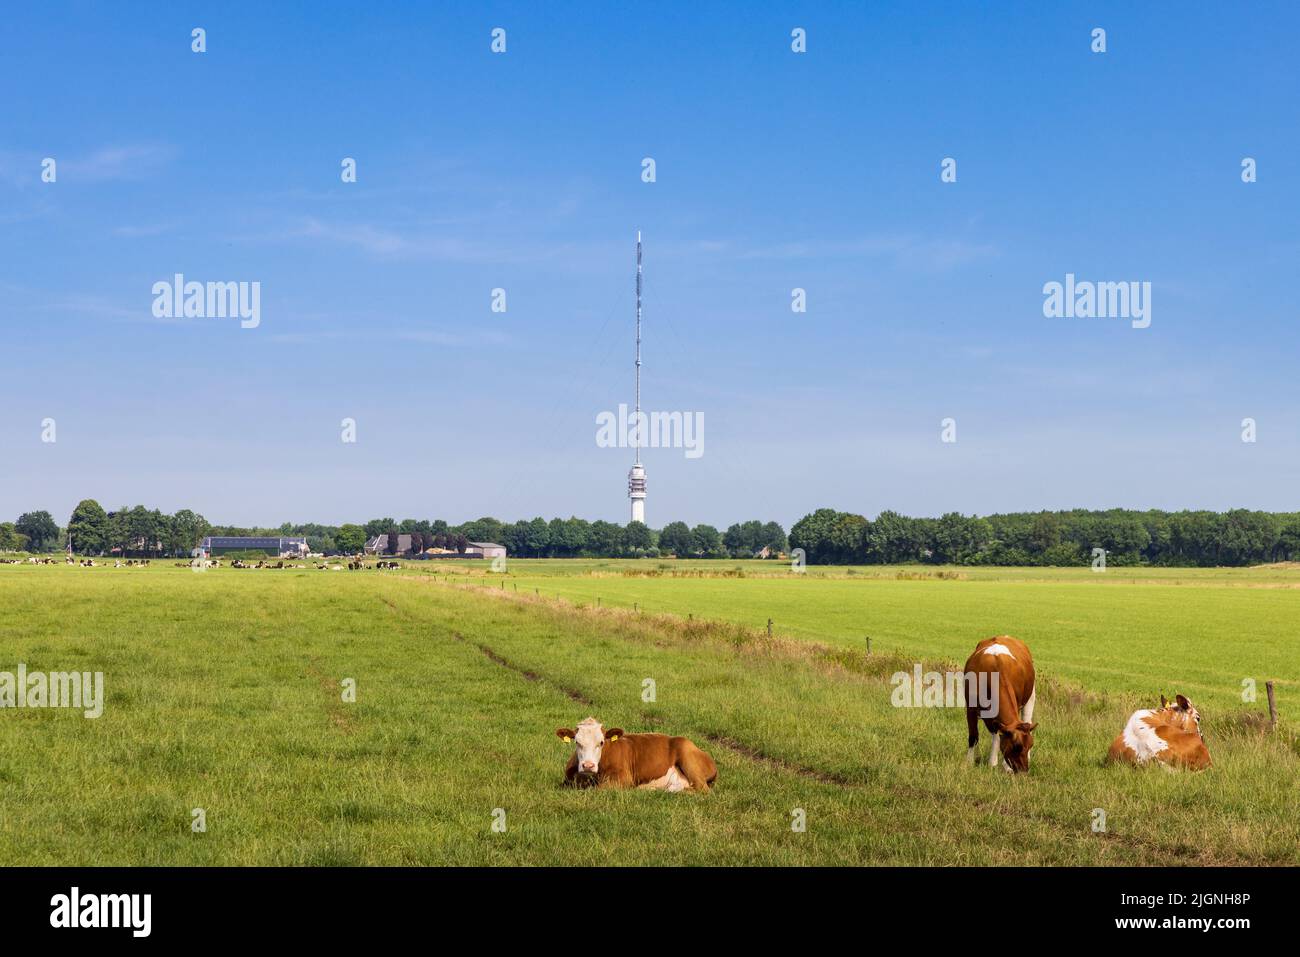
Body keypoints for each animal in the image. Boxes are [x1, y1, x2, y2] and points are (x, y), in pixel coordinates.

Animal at [553, 717, 722, 790]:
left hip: (687, 756)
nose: (588, 765)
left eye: (601, 742)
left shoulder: (623, 778)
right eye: (577, 742)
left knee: (702, 789)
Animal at [961, 634, 1040, 769]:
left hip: (1031, 696)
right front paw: (970, 762)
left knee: (1027, 720)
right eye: (1016, 746)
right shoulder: (971, 708)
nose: (1024, 770)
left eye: (1031, 745)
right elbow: (974, 736)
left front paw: (1000, 764)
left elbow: (998, 735)